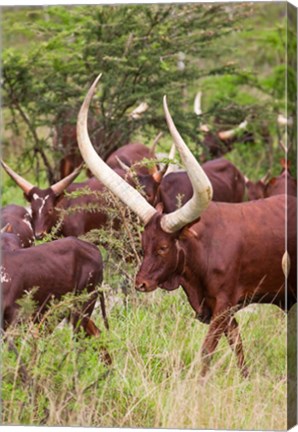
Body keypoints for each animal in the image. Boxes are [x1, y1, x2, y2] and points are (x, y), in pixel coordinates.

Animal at [77, 75, 298, 378]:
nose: (140, 283)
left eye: (163, 247)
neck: (202, 249)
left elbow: (207, 352)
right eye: (143, 246)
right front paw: (245, 379)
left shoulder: (223, 305)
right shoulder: (217, 309)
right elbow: (237, 347)